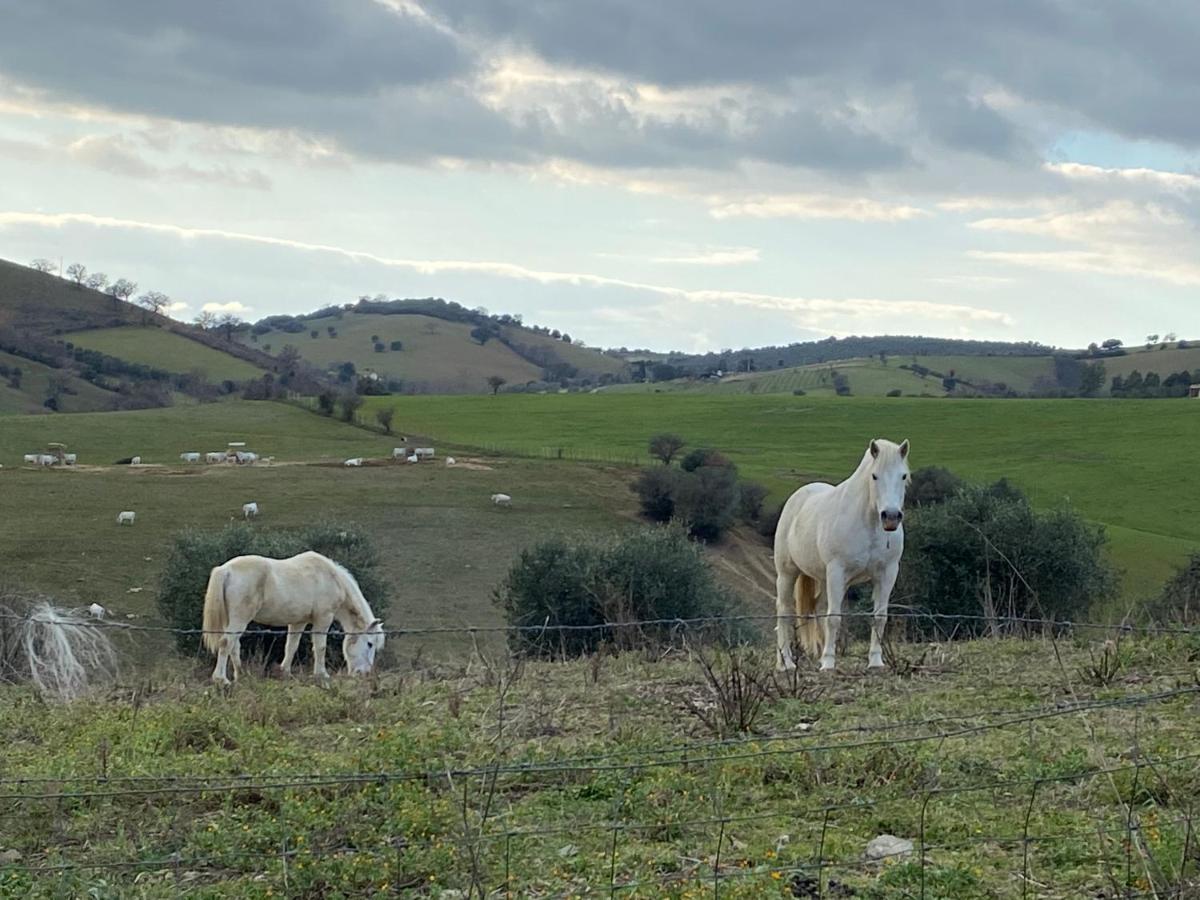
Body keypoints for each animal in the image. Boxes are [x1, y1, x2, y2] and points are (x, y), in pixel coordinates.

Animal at [199, 554, 381, 686]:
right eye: (370, 644)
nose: (365, 674)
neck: (330, 577)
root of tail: (226, 570)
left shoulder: (298, 622)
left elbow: (291, 646)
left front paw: (285, 672)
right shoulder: (323, 618)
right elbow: (320, 647)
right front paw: (322, 675)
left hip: (231, 620)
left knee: (234, 646)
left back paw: (241, 676)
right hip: (240, 619)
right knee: (226, 644)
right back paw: (222, 680)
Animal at [777, 441, 907, 672]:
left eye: (903, 476)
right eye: (874, 476)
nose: (891, 517)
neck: (868, 524)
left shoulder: (887, 572)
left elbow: (879, 617)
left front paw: (875, 661)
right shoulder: (837, 571)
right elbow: (834, 618)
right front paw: (829, 663)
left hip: (823, 578)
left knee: (819, 607)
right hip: (787, 573)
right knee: (784, 612)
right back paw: (787, 663)